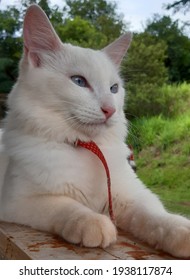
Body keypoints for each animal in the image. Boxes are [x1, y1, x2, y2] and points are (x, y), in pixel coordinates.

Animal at [0, 4, 190, 258]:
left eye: (114, 88)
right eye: (79, 81)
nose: (110, 110)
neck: (86, 146)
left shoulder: (131, 195)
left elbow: (155, 216)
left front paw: (180, 230)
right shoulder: (17, 201)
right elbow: (66, 205)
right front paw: (93, 223)